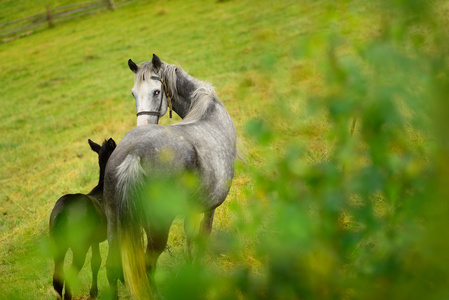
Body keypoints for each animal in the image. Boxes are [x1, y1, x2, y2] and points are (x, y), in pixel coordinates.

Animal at [49, 139, 115, 300]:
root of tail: (63, 211)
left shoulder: (94, 240)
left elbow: (96, 262)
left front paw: (94, 292)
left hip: (57, 243)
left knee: (57, 277)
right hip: (79, 243)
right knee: (70, 274)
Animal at [103, 54, 236, 298]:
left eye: (157, 92)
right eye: (134, 93)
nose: (143, 123)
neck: (206, 107)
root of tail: (134, 155)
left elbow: (190, 238)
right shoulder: (208, 208)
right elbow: (202, 234)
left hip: (114, 226)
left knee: (112, 267)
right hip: (157, 227)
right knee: (148, 264)